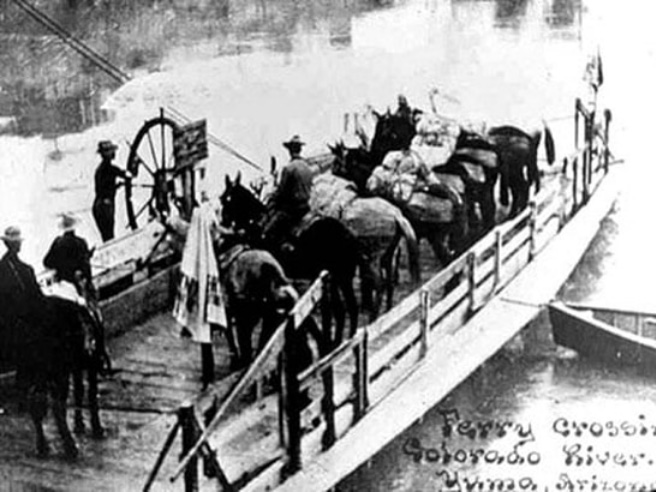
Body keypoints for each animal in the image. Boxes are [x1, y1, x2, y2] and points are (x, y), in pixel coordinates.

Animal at [223, 175, 362, 344]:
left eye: (227, 200)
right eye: (222, 198)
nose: (223, 222)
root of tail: (349, 234)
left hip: (339, 278)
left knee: (345, 309)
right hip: (339, 279)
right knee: (344, 310)